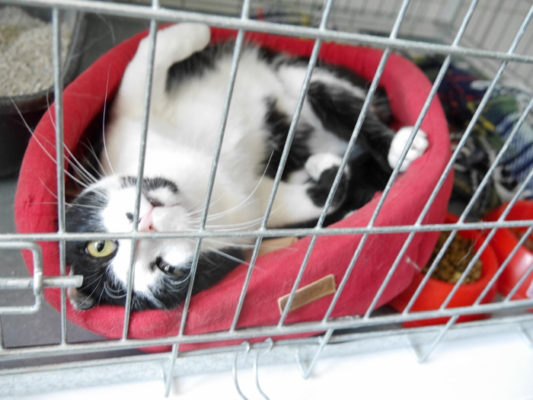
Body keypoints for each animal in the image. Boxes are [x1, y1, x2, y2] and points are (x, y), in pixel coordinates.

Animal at [65, 23, 428, 311]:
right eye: (168, 269)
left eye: (99, 247)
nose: (146, 223)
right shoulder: (247, 213)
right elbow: (304, 201)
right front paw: (326, 175)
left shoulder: (123, 122)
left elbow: (143, 66)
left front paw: (195, 30)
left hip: (301, 75)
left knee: (336, 98)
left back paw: (400, 144)